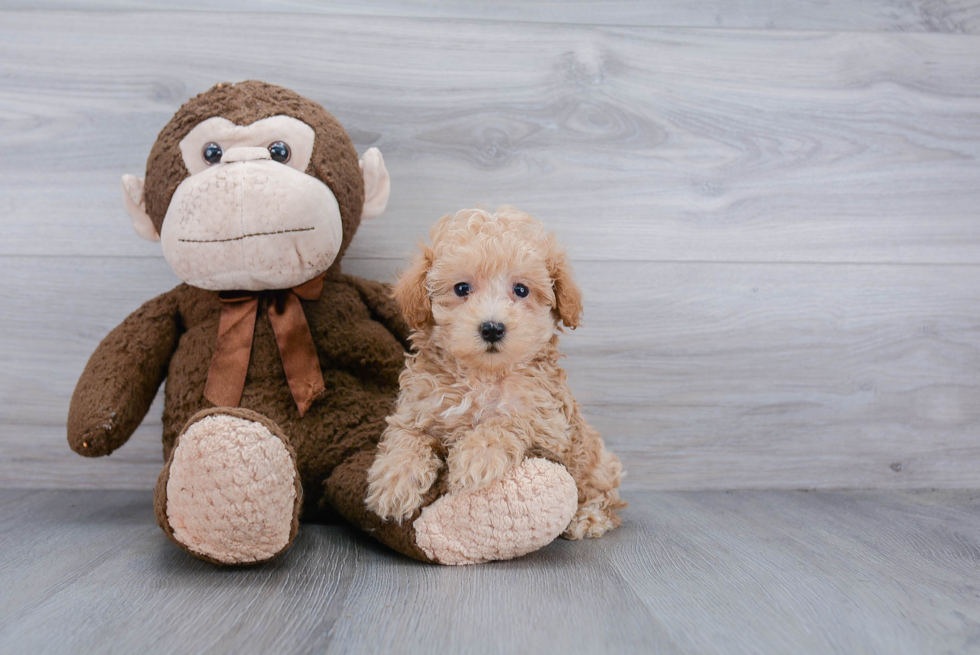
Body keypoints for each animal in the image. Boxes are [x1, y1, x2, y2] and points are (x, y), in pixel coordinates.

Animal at [364, 208, 624, 540]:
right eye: (462, 288)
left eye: (521, 290)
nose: (491, 328)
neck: (482, 377)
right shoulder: (416, 410)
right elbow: (407, 440)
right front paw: (394, 483)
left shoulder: (549, 428)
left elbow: (506, 422)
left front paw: (476, 456)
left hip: (595, 464)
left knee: (603, 494)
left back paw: (588, 518)